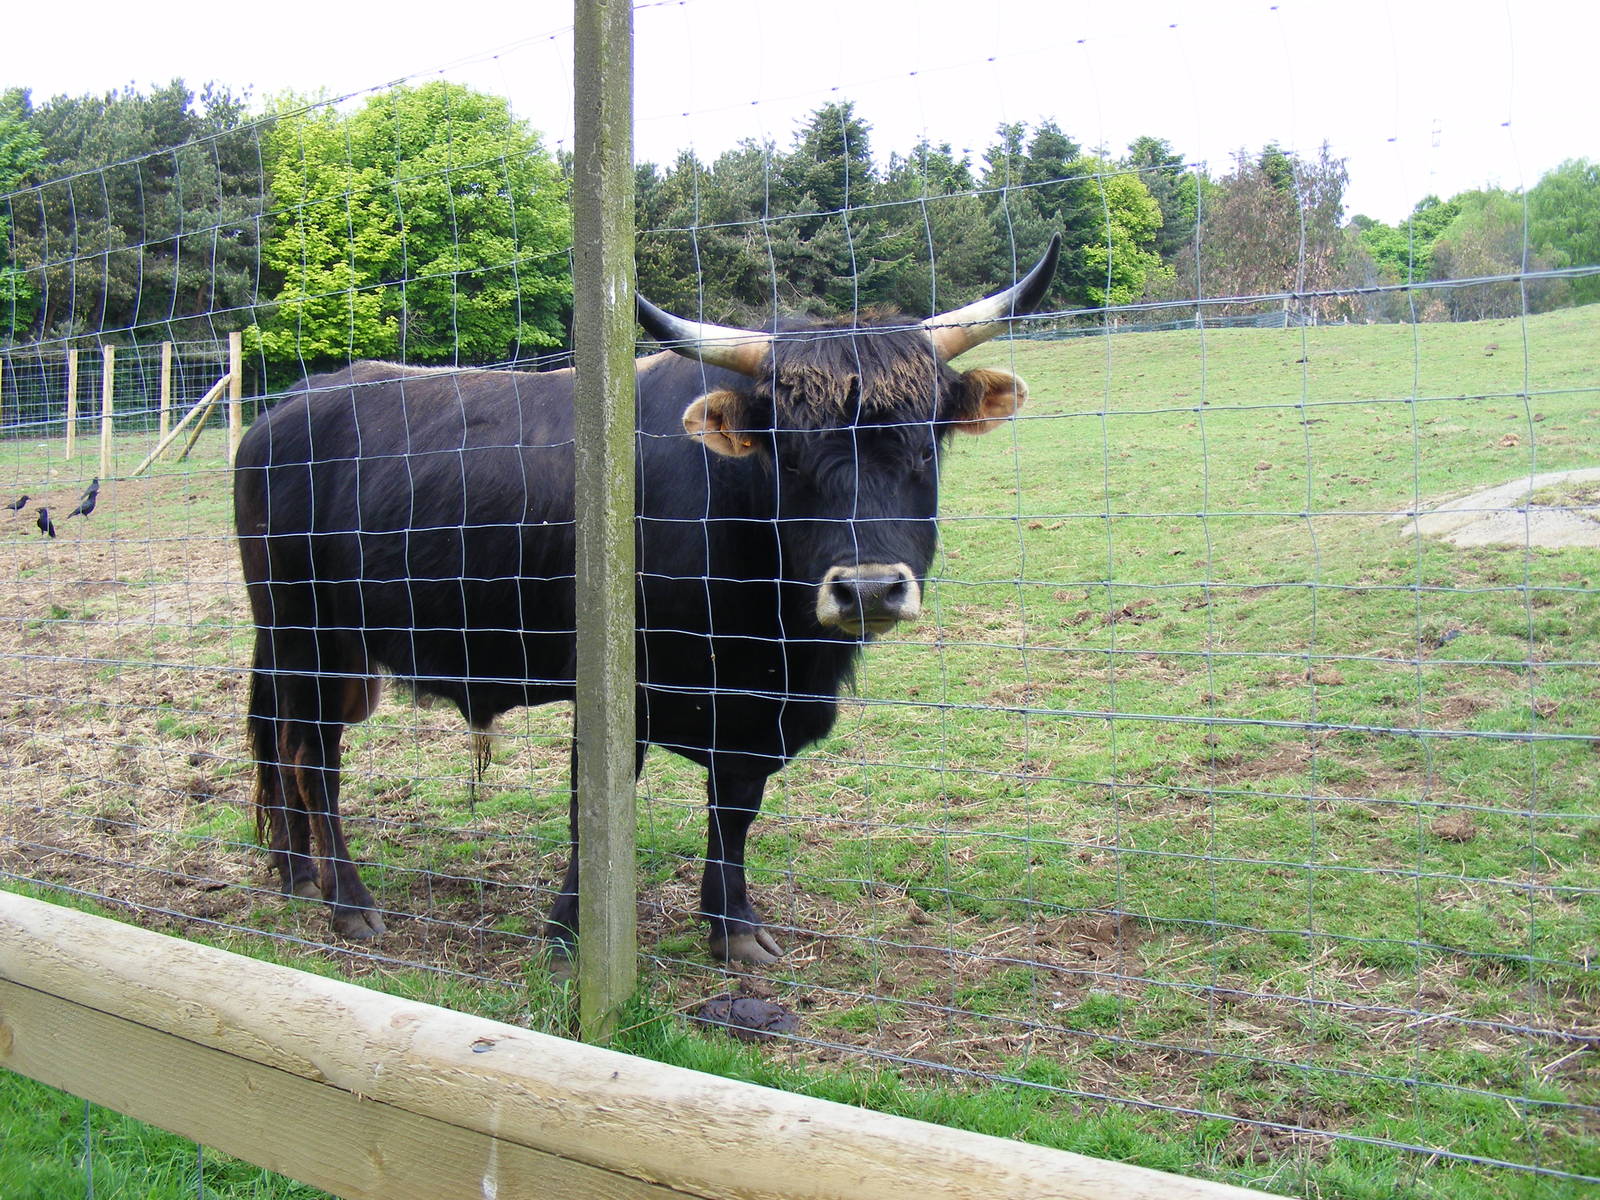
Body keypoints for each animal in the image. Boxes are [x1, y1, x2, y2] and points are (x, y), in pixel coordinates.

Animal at [234, 235, 1059, 965]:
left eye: (924, 446)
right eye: (787, 454)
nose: (866, 587)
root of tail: (285, 411)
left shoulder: (751, 711)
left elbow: (735, 809)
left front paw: (733, 926)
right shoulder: (620, 693)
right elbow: (593, 810)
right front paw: (570, 936)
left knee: (285, 745)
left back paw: (301, 875)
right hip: (308, 635)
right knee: (315, 758)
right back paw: (350, 902)